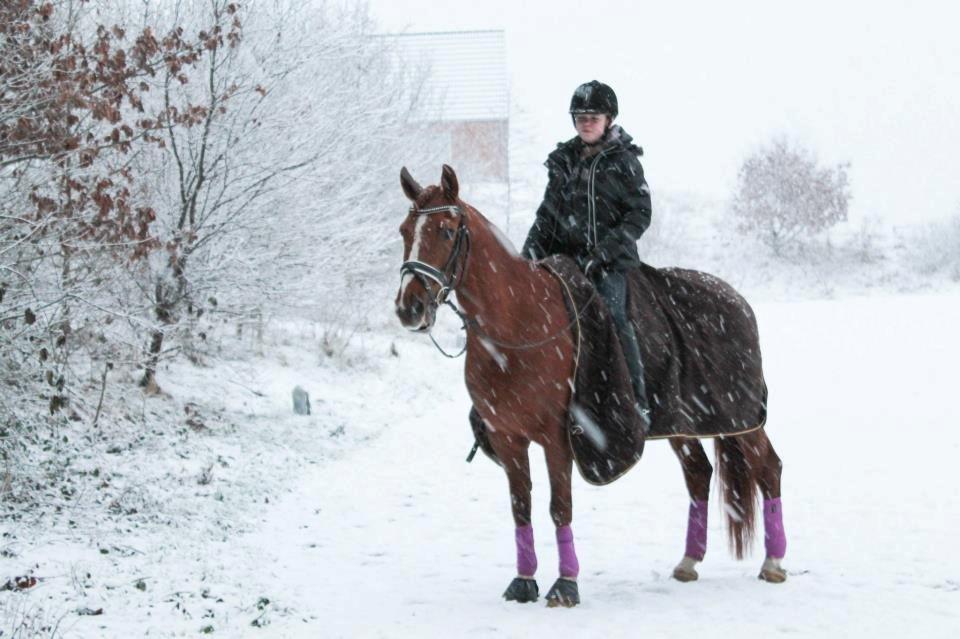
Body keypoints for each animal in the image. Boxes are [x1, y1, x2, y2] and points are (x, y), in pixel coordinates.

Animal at [392, 165, 788, 608]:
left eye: (445, 231)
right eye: (405, 231)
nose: (409, 307)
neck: (517, 324)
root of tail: (737, 300)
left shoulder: (558, 437)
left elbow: (559, 506)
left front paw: (566, 585)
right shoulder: (508, 437)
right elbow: (521, 507)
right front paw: (524, 581)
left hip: (741, 419)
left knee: (768, 467)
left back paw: (773, 562)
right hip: (683, 423)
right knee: (699, 473)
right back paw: (688, 561)